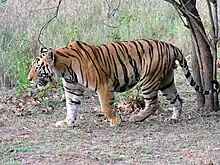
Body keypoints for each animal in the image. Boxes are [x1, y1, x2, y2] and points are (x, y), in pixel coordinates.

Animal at [27, 39, 217, 127]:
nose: (28, 79)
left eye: (37, 67)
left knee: (153, 103)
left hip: (148, 80)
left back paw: (136, 117)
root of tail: (171, 45)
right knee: (177, 99)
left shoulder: (103, 85)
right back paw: (174, 118)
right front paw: (67, 122)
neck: (64, 70)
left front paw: (116, 121)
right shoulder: (73, 90)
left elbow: (106, 107)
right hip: (166, 80)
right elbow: (71, 107)